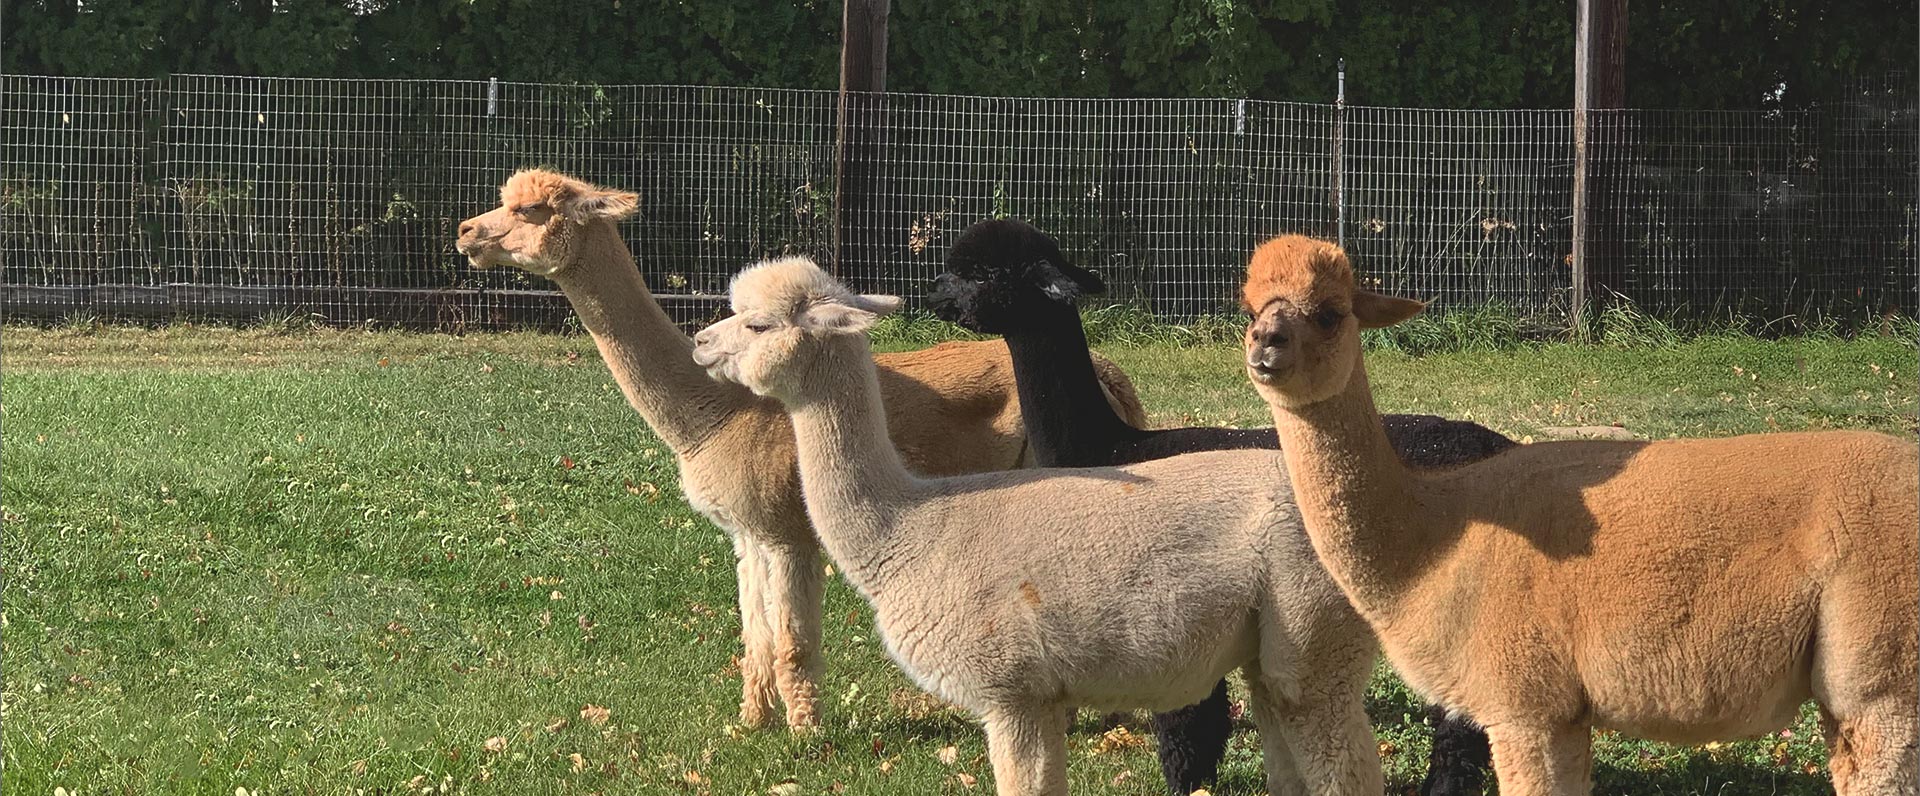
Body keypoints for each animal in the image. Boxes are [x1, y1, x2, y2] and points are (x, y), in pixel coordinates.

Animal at [453, 169, 1148, 731]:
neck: (714, 416)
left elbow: (790, 641)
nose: (464, 232)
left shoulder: (786, 531)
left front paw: (807, 735)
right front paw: (751, 724)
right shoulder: (746, 533)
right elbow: (756, 636)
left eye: (528, 210)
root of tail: (1115, 380)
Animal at [691, 255, 1385, 796]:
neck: (909, 530)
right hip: (1274, 654)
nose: (698, 342)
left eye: (757, 323)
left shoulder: (1011, 690)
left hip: (1313, 639)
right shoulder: (1046, 699)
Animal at [1238, 234, 1919, 796]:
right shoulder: (1562, 713)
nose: (1264, 344)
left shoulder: (1523, 703)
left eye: (1331, 313)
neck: (1437, 539)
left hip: (1878, 667)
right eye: (1250, 309)